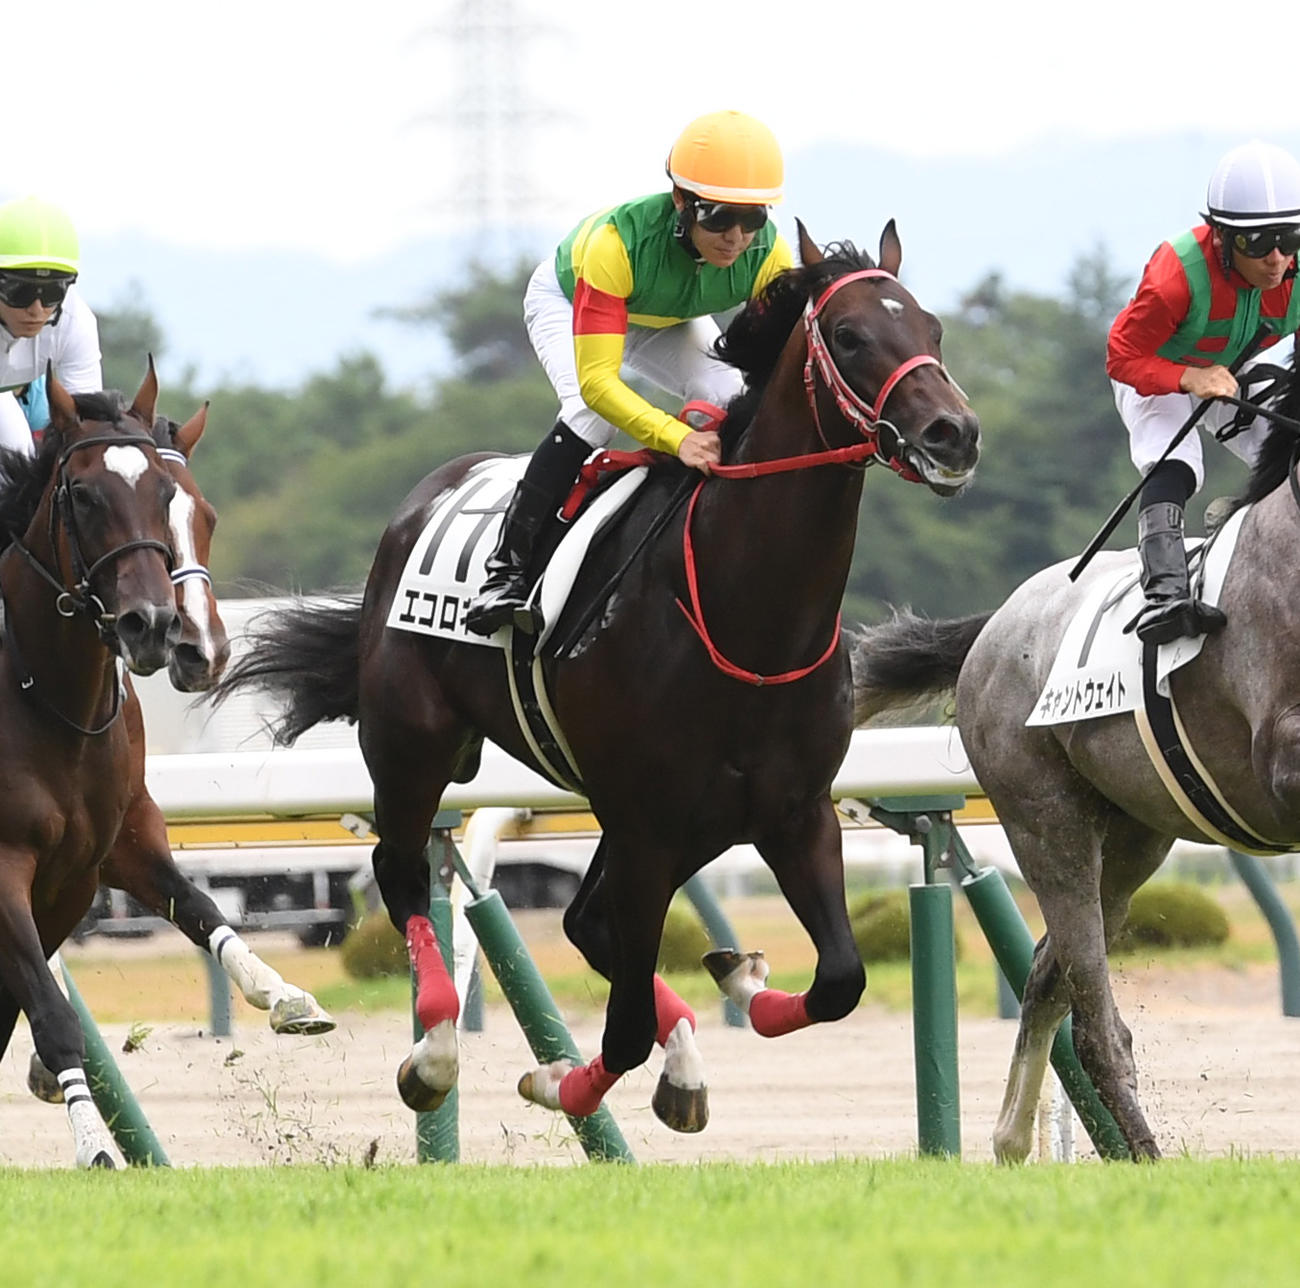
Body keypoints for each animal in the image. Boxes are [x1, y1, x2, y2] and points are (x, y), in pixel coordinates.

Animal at [210, 222, 981, 1130]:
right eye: (852, 335)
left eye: (933, 328)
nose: (954, 434)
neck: (748, 617)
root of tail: (423, 499)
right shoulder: (649, 825)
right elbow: (623, 1029)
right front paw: (561, 1083)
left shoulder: (793, 813)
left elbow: (839, 981)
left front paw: (741, 984)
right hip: (414, 748)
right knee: (404, 875)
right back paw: (434, 1051)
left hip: (663, 818)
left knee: (586, 923)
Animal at [847, 364, 1300, 1161]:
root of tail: (995, 624)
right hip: (1046, 822)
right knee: (1093, 1019)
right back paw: (1140, 1155)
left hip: (1132, 839)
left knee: (1045, 973)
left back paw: (1012, 1139)